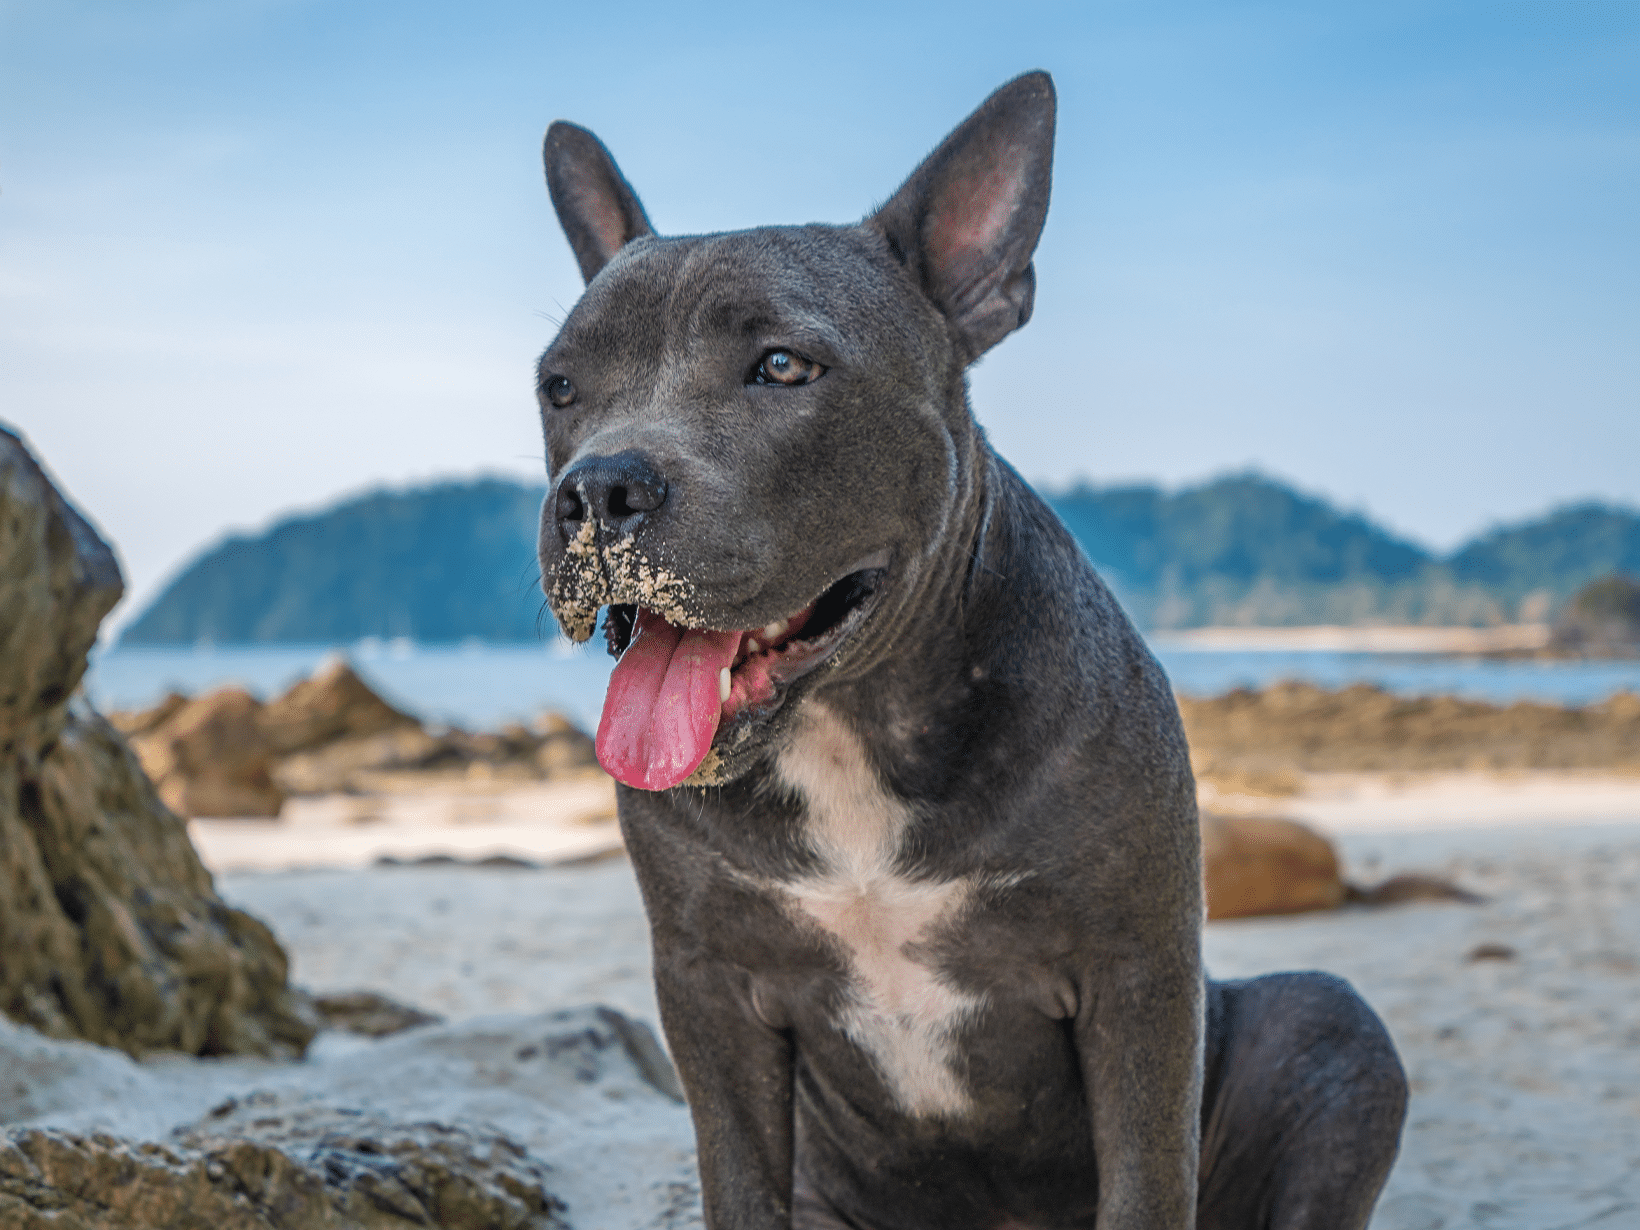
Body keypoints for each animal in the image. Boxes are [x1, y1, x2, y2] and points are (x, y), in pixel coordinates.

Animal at [537, 74, 1410, 1230]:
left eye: (782, 366)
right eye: (559, 389)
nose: (597, 488)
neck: (851, 725)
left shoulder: (1137, 977)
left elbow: (1145, 1177)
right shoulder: (708, 995)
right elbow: (739, 1182)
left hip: (1330, 1030)